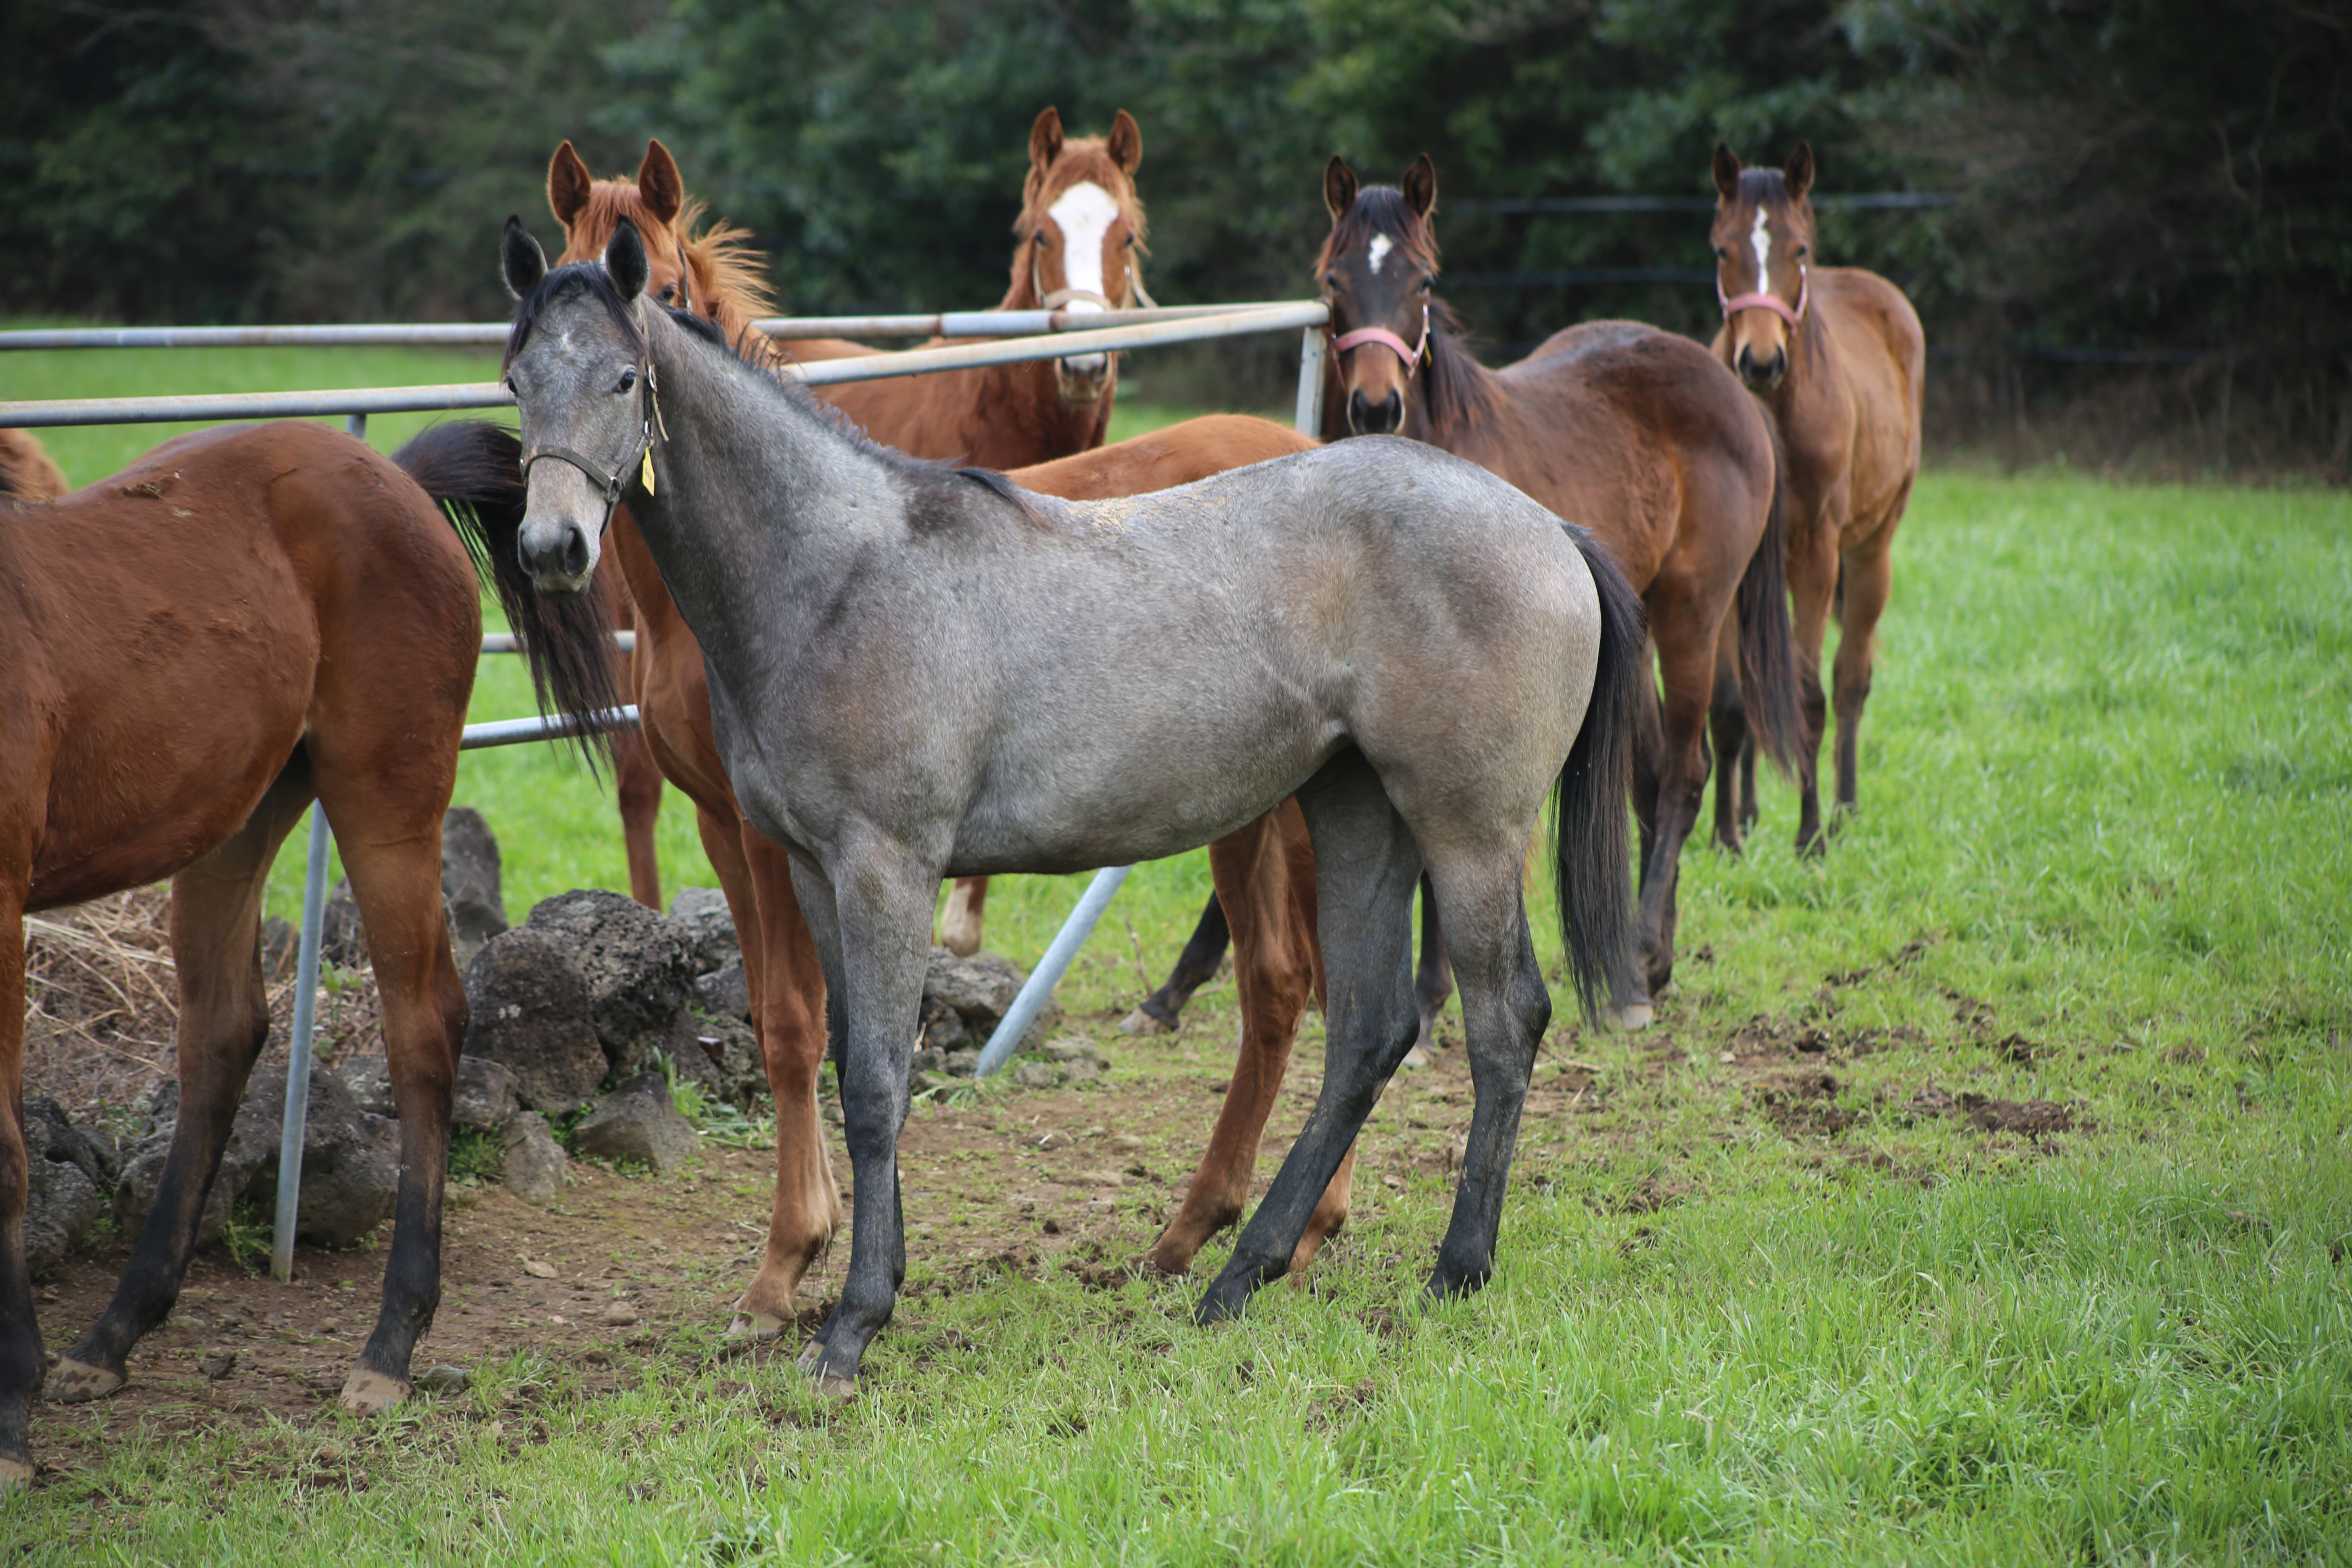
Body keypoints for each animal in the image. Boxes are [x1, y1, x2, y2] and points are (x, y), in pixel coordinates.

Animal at [0, 414, 616, 1486]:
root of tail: (394, 476)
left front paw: (9, 1418)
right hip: (231, 818)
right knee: (224, 1031)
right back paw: (113, 1334)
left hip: (384, 804)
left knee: (422, 1030)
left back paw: (390, 1346)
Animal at [501, 217, 1637, 1401]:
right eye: (518, 378)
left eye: (624, 378)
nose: (551, 550)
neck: (837, 572)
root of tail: (1548, 526)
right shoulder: (812, 868)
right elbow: (842, 1055)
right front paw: (859, 1289)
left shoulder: (885, 867)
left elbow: (876, 1080)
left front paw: (851, 1324)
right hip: (1359, 818)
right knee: (1366, 1036)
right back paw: (1238, 1275)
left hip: (1467, 832)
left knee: (1502, 1021)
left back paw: (1452, 1267)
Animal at [1712, 144, 1929, 860]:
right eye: (1722, 249)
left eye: (1798, 249)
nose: (1760, 361)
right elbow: (1732, 705)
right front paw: (1725, 836)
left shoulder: (1815, 555)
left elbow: (1809, 697)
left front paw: (1809, 837)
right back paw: (1753, 812)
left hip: (1869, 553)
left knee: (1850, 679)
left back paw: (1843, 810)